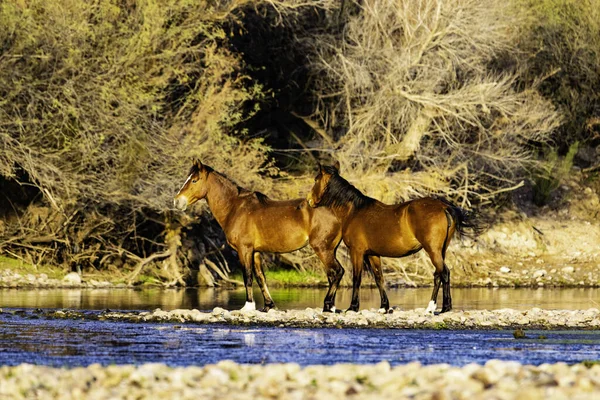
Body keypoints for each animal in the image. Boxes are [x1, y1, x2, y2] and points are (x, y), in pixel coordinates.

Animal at [172, 159, 342, 312]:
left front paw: (248, 305)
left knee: (336, 272)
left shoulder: (244, 249)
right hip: (330, 250)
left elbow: (247, 276)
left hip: (322, 249)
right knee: (333, 274)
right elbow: (261, 277)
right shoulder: (256, 252)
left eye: (194, 180)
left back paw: (328, 306)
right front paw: (268, 305)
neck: (235, 207)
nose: (177, 202)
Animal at [308, 161, 480, 314]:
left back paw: (440, 308)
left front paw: (353, 307)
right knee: (438, 274)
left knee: (444, 273)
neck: (354, 211)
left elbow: (357, 278)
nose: (309, 200)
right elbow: (379, 278)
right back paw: (435, 308)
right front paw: (384, 307)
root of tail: (444, 207)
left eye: (316, 179)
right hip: (441, 250)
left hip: (433, 250)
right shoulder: (372, 254)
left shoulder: (356, 252)